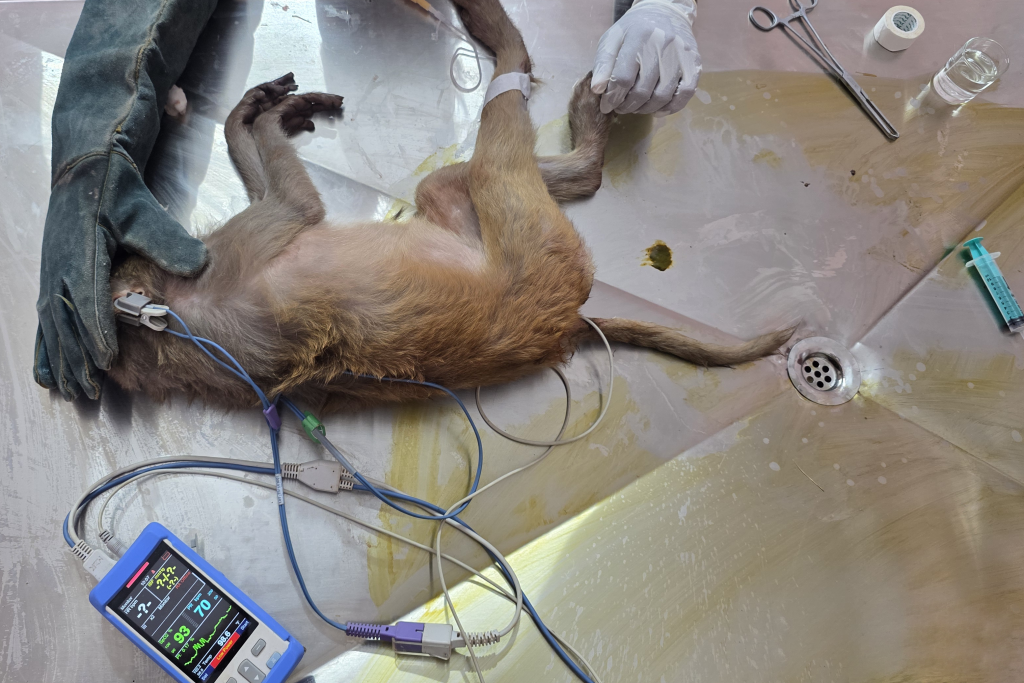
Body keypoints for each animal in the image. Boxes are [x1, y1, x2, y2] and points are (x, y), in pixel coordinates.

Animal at [108, 0, 794, 412]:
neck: (157, 320)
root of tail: (567, 321)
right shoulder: (226, 256)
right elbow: (298, 207)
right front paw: (263, 114)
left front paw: (253, 111)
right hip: (531, 237)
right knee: (499, 157)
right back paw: (528, 61)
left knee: (451, 182)